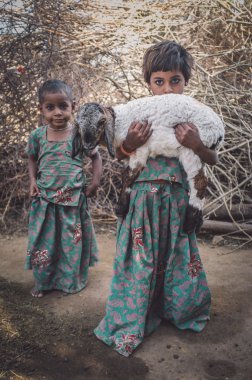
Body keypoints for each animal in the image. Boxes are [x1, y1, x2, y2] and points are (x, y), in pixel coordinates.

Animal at [72, 93, 224, 233]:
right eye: (78, 124)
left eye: (101, 121)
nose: (88, 144)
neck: (119, 123)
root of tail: (219, 131)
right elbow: (125, 173)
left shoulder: (140, 150)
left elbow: (129, 176)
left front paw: (121, 208)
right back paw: (197, 222)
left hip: (192, 147)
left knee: (199, 182)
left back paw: (190, 222)